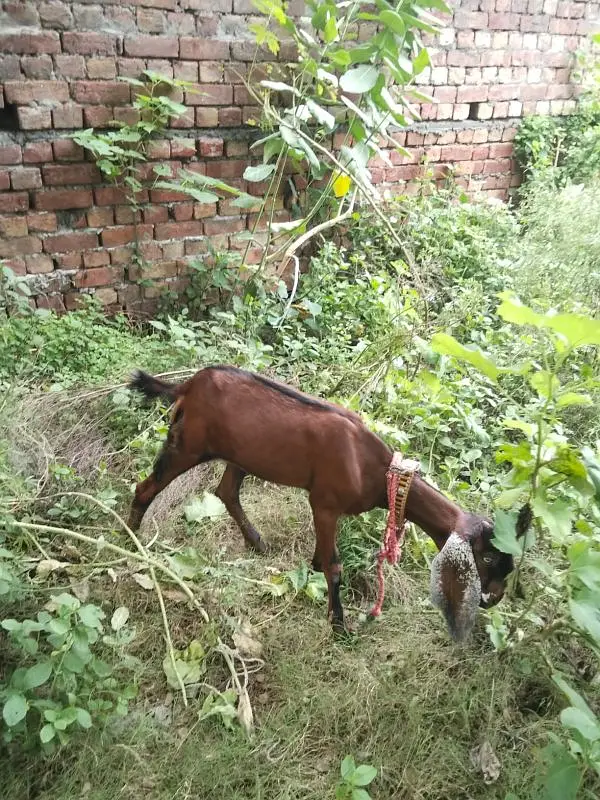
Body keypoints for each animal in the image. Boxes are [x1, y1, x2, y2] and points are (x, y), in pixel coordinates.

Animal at [127, 365, 531, 640]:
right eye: (487, 558)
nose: (494, 599)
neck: (376, 470)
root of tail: (189, 383)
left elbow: (324, 557)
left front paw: (314, 569)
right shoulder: (324, 503)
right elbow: (335, 567)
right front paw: (339, 624)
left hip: (241, 453)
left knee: (227, 491)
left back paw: (255, 541)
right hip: (186, 443)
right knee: (145, 488)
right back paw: (131, 544)